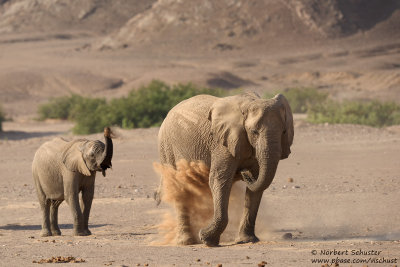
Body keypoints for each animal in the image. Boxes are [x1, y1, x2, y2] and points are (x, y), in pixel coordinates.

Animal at [156, 92, 294, 247]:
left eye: (284, 132)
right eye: (254, 132)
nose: (244, 173)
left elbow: (257, 186)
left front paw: (247, 240)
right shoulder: (222, 144)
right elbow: (219, 180)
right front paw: (207, 240)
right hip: (166, 146)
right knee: (178, 187)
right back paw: (187, 242)